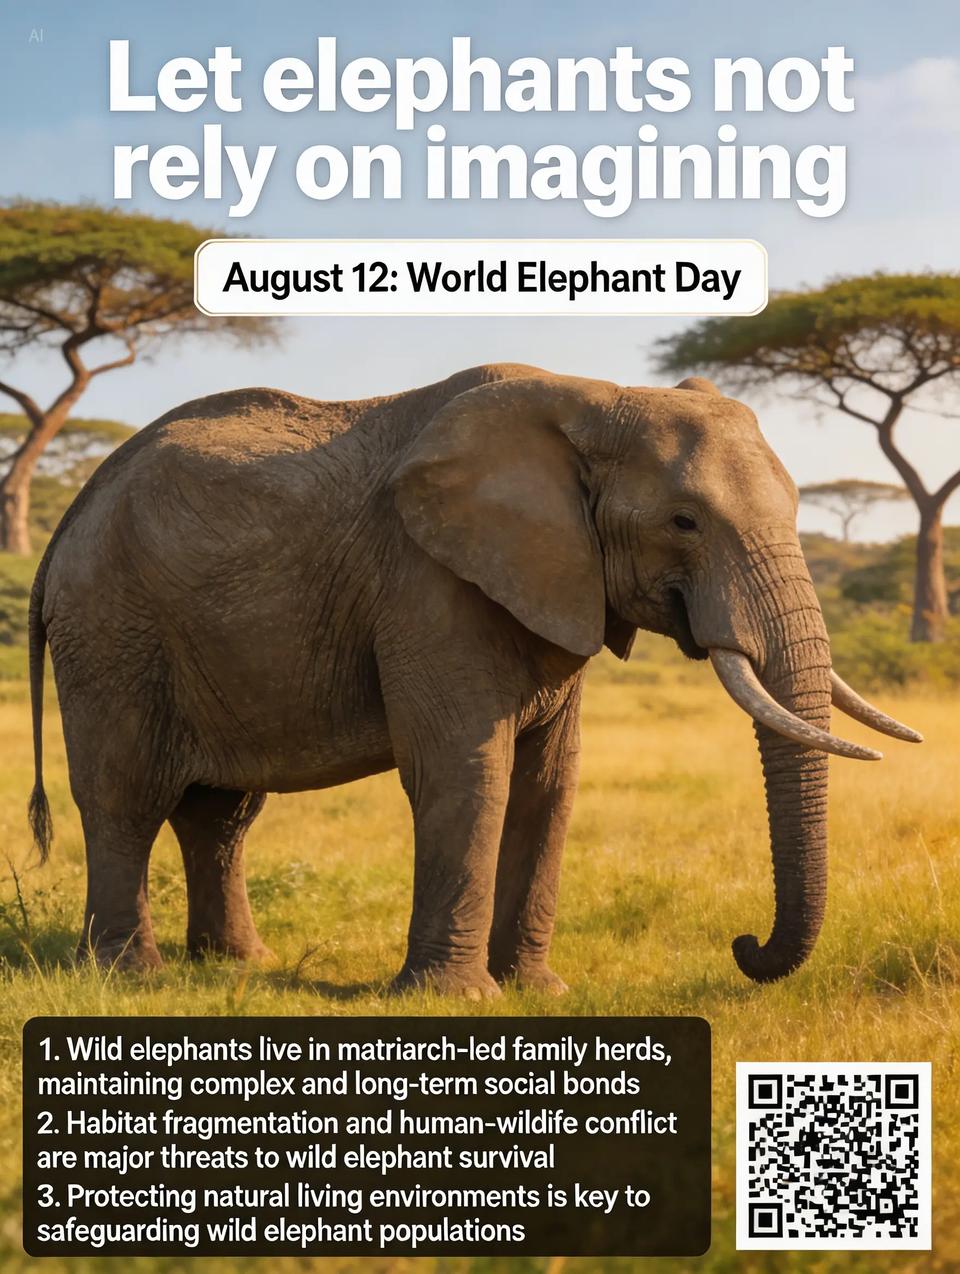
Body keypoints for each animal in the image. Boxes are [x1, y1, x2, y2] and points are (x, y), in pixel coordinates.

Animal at [27, 363, 921, 997]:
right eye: (684, 522)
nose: (742, 945)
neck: (595, 399)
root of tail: (70, 513)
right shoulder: (428, 583)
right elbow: (467, 772)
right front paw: (456, 998)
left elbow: (549, 783)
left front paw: (536, 991)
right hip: (111, 627)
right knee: (125, 795)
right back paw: (128, 975)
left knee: (221, 814)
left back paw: (236, 965)